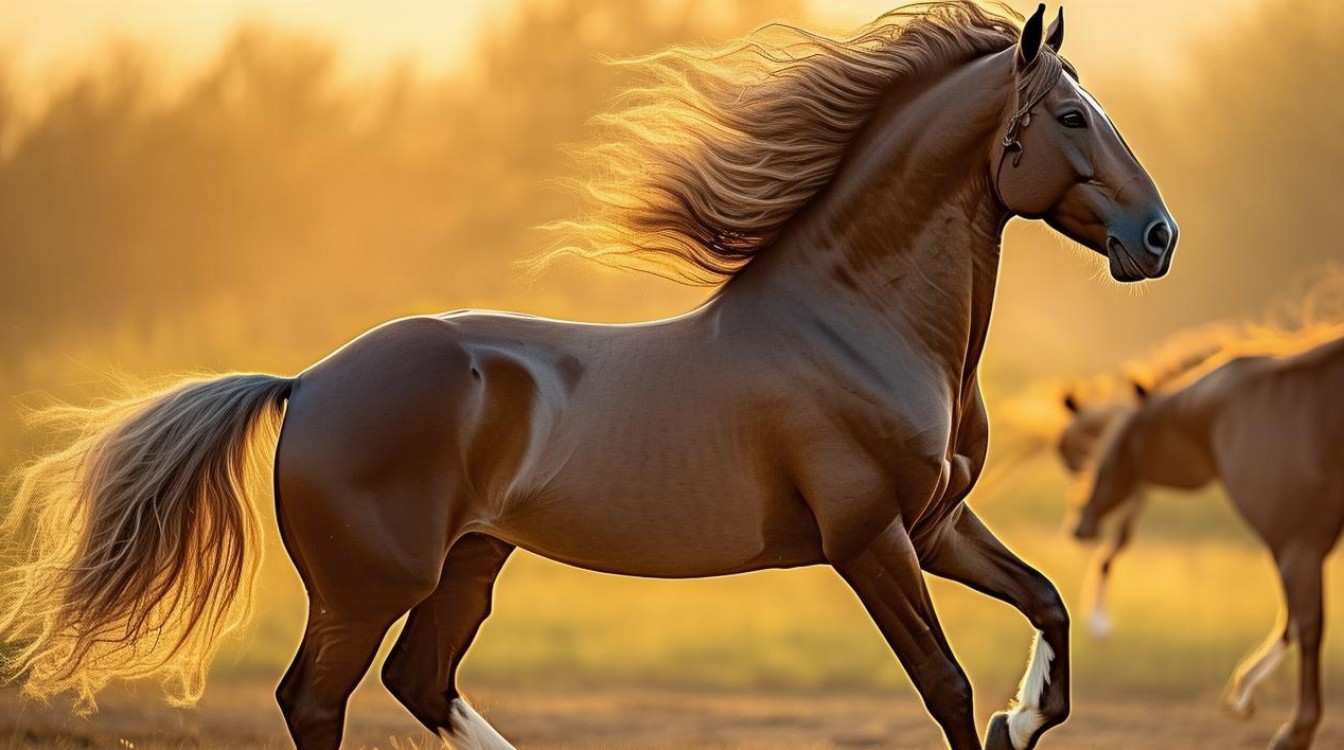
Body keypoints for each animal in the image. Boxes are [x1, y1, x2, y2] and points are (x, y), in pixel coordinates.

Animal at [0, 4, 1177, 750]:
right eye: (1071, 116)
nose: (1158, 238)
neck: (856, 326)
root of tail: (309, 381)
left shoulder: (935, 526)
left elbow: (1049, 605)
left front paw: (1022, 720)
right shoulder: (868, 539)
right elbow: (942, 684)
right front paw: (999, 716)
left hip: (470, 563)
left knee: (418, 681)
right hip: (368, 585)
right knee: (315, 701)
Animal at [1071, 332, 1344, 750]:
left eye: (1119, 437)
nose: (1081, 520)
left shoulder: (1298, 545)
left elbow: (1306, 625)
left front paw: (1295, 729)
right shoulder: (1304, 546)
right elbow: (1291, 622)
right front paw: (1243, 695)